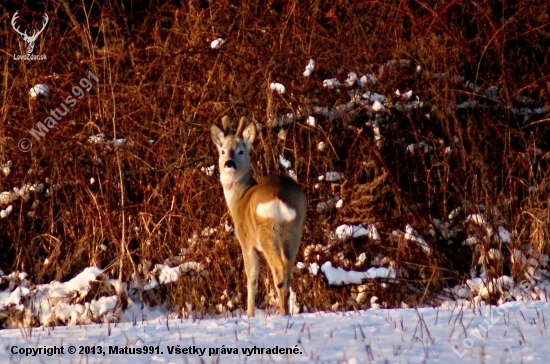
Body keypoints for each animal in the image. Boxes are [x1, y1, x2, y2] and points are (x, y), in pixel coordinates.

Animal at [211, 116, 308, 316]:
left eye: (241, 151)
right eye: (222, 151)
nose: (229, 163)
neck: (239, 199)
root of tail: (278, 195)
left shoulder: (246, 241)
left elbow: (251, 278)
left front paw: (249, 314)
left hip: (266, 231)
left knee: (279, 268)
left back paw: (282, 313)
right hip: (295, 230)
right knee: (288, 268)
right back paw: (287, 311)